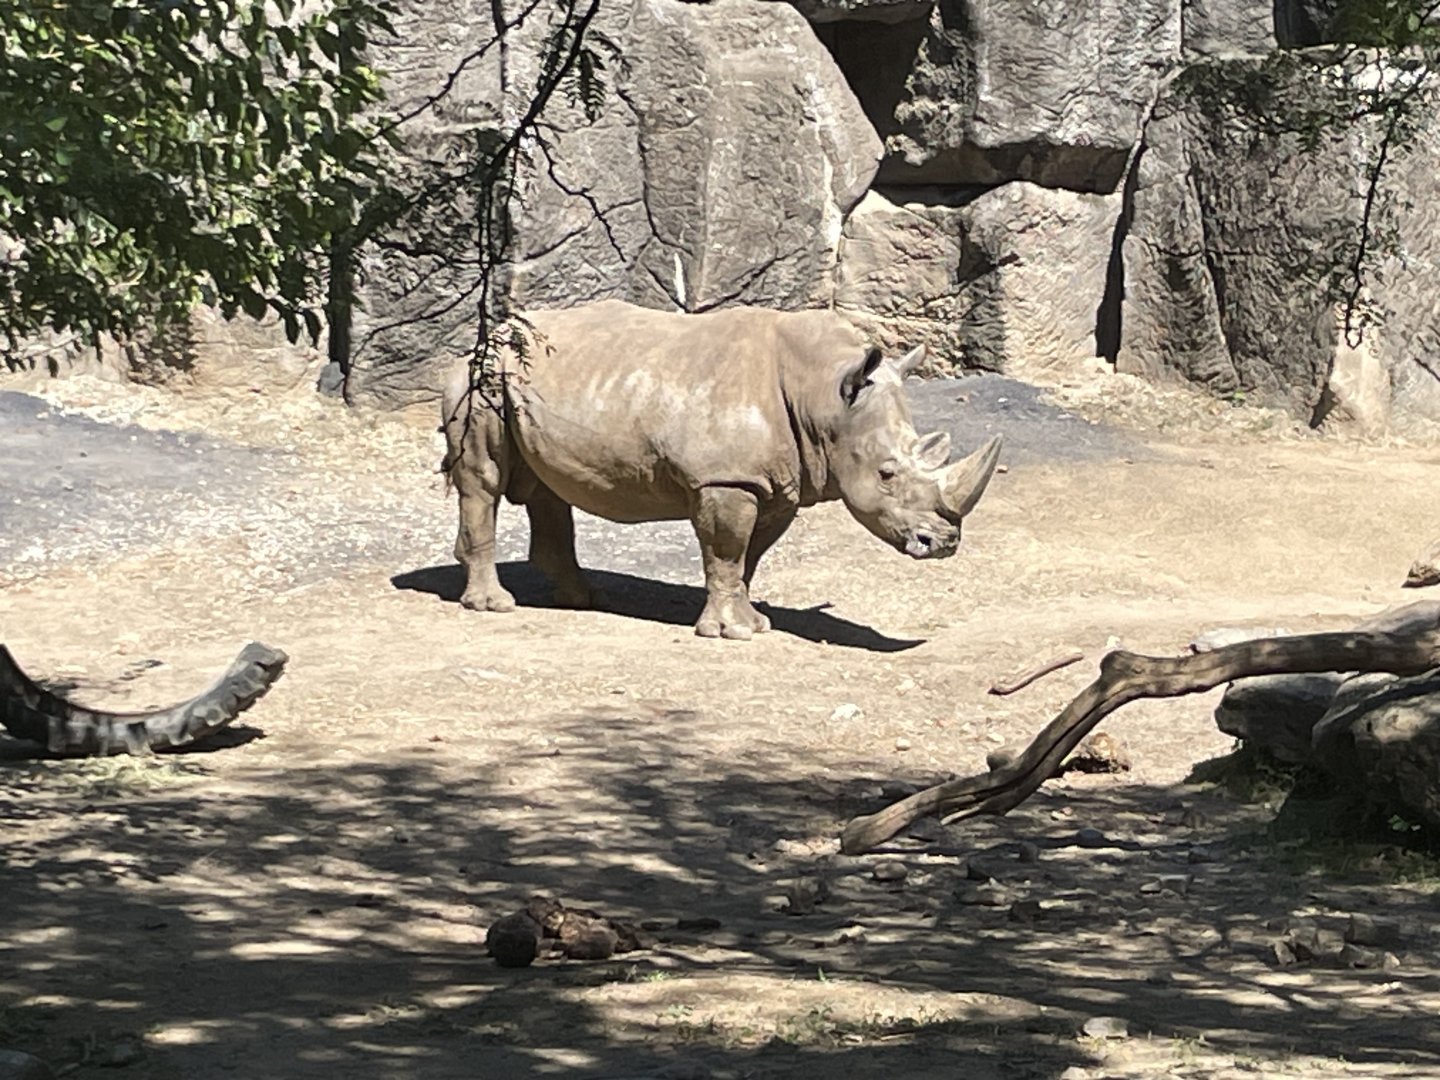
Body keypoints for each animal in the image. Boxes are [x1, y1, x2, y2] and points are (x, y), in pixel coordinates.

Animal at [440, 300, 1002, 639]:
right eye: (887, 474)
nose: (943, 544)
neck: (823, 396)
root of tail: (489, 334)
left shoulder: (777, 484)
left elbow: (749, 556)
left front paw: (753, 622)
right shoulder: (726, 478)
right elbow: (728, 551)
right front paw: (732, 633)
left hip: (527, 380)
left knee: (547, 488)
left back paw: (580, 600)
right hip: (483, 378)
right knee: (485, 479)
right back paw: (495, 605)